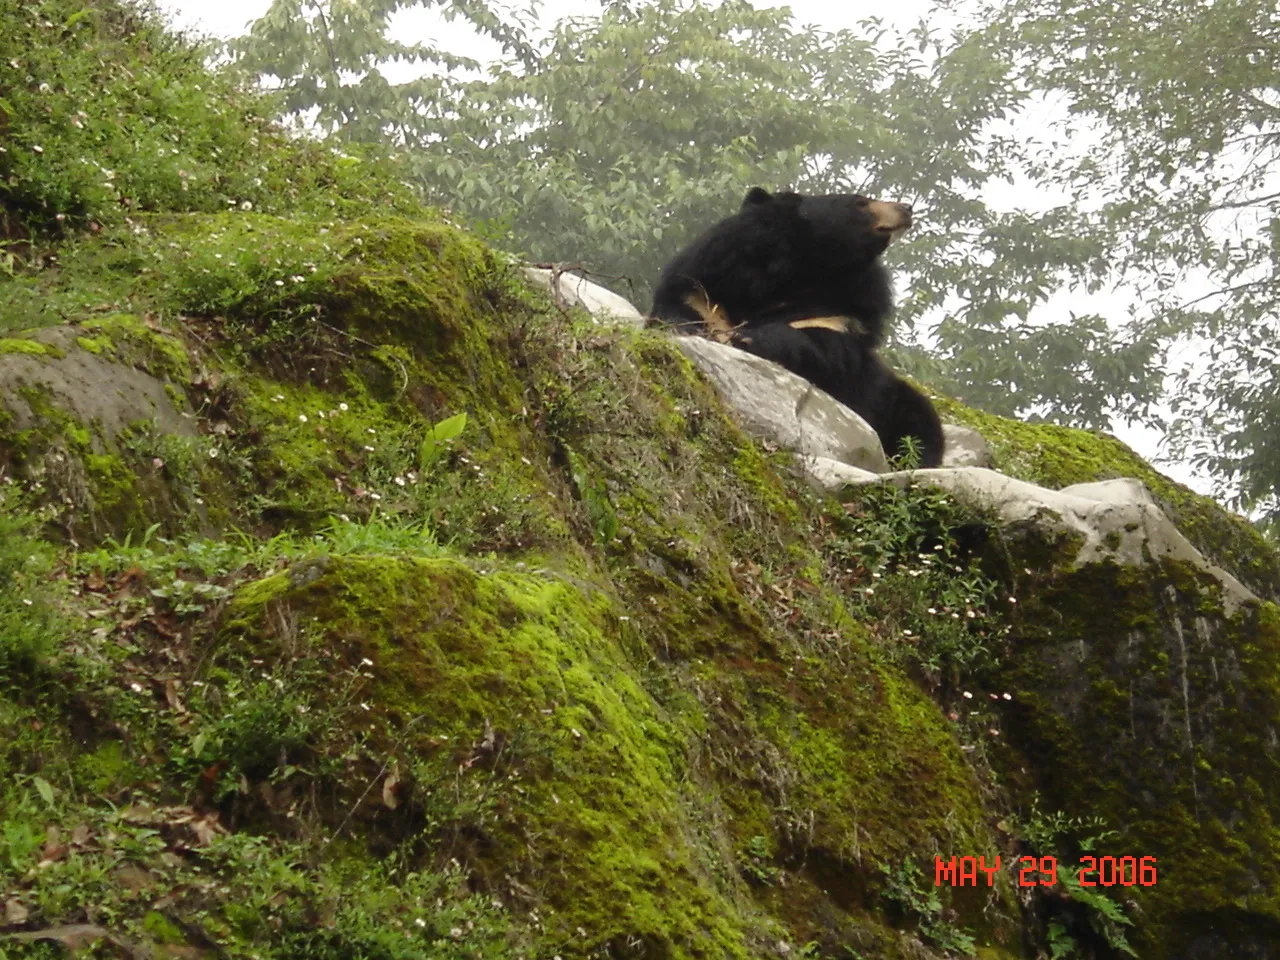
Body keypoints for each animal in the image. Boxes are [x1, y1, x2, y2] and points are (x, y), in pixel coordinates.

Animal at [650, 185, 942, 471]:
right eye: (860, 202)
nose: (906, 208)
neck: (804, 272)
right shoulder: (713, 280)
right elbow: (682, 306)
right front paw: (691, 329)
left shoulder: (839, 315)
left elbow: (820, 354)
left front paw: (748, 338)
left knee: (917, 422)